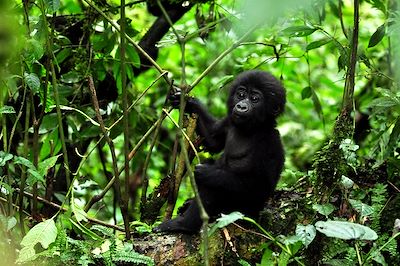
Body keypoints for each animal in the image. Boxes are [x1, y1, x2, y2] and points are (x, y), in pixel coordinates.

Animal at [155, 70, 284, 233]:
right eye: (241, 94)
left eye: (255, 99)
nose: (241, 106)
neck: (252, 129)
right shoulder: (229, 122)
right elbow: (212, 139)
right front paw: (188, 102)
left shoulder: (270, 142)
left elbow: (260, 186)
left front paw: (208, 172)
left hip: (239, 212)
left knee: (213, 187)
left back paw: (184, 224)